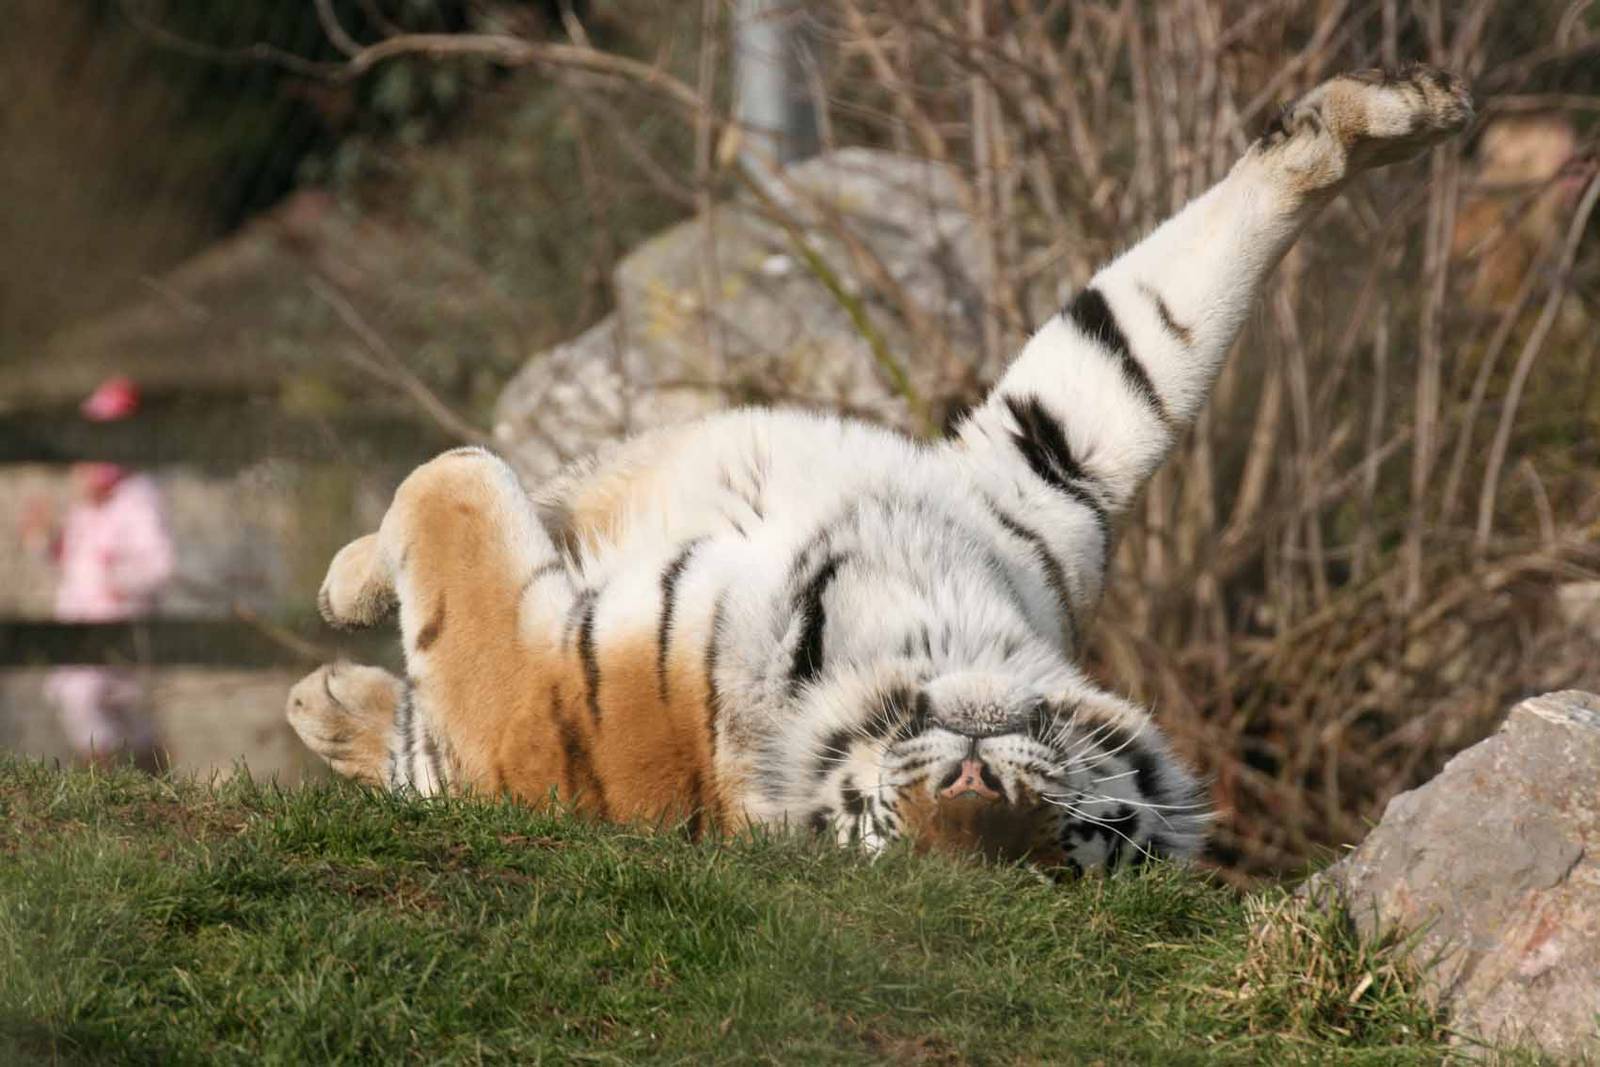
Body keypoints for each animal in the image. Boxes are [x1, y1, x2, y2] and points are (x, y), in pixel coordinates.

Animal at [286, 65, 1471, 873]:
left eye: (1072, 841)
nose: (974, 782)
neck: (917, 614)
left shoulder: (519, 691)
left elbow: (449, 481)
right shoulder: (1042, 472)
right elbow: (1159, 317)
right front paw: (1388, 117)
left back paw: (325, 699)